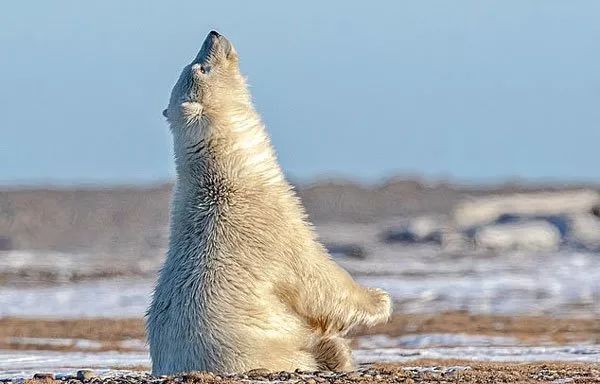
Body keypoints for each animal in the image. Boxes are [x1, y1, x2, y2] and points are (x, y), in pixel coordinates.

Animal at [144, 30, 390, 376]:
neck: (227, 178)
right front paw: (380, 299)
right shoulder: (272, 226)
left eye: (194, 62)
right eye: (202, 68)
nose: (213, 34)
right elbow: (317, 277)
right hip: (266, 350)